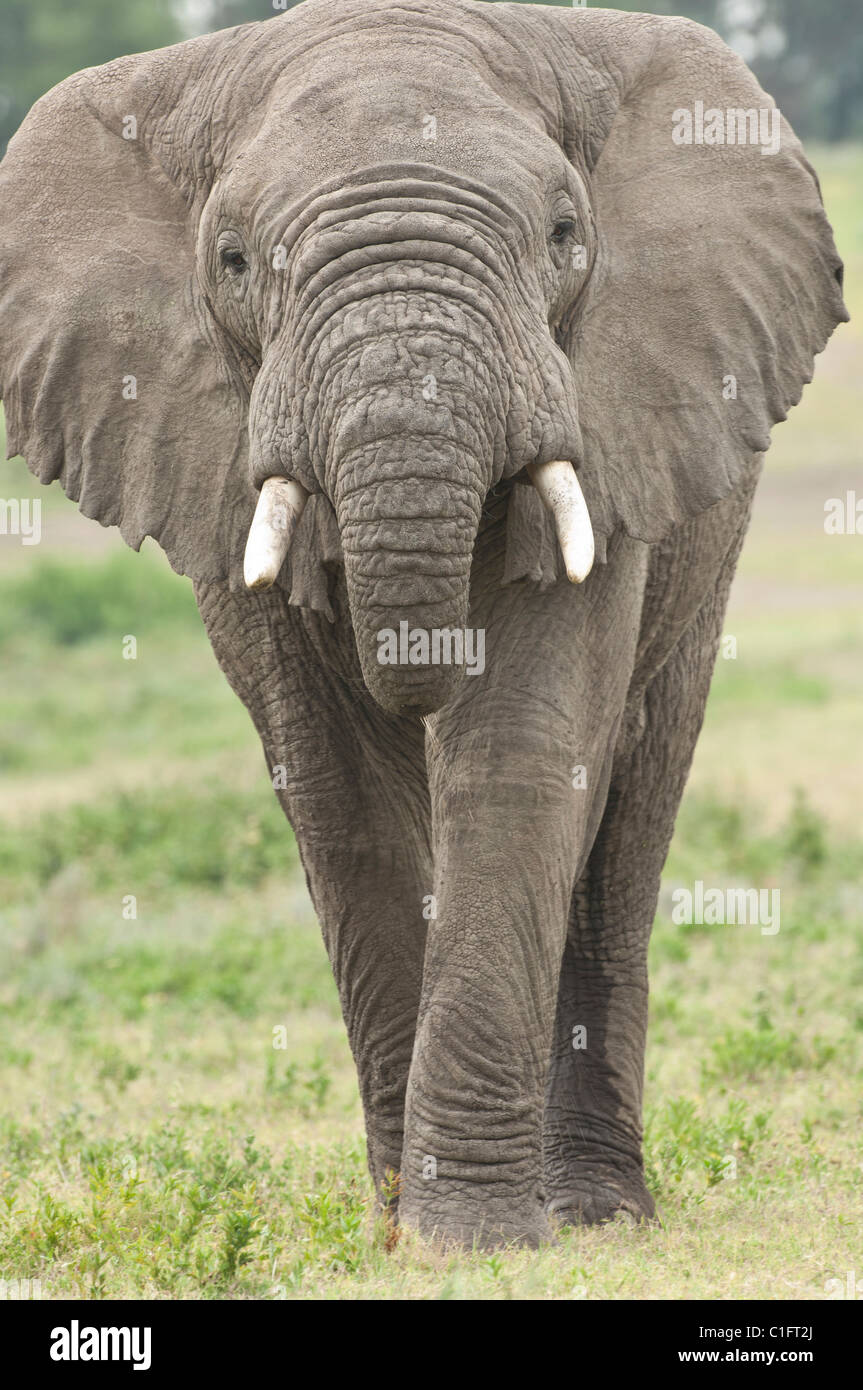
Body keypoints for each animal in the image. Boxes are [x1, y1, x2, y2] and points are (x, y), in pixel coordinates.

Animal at [0, 0, 850, 1251]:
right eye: (232, 260)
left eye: (562, 235)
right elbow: (341, 784)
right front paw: (407, 1237)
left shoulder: (607, 406)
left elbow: (522, 743)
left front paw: (477, 1240)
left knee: (629, 809)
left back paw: (595, 1215)